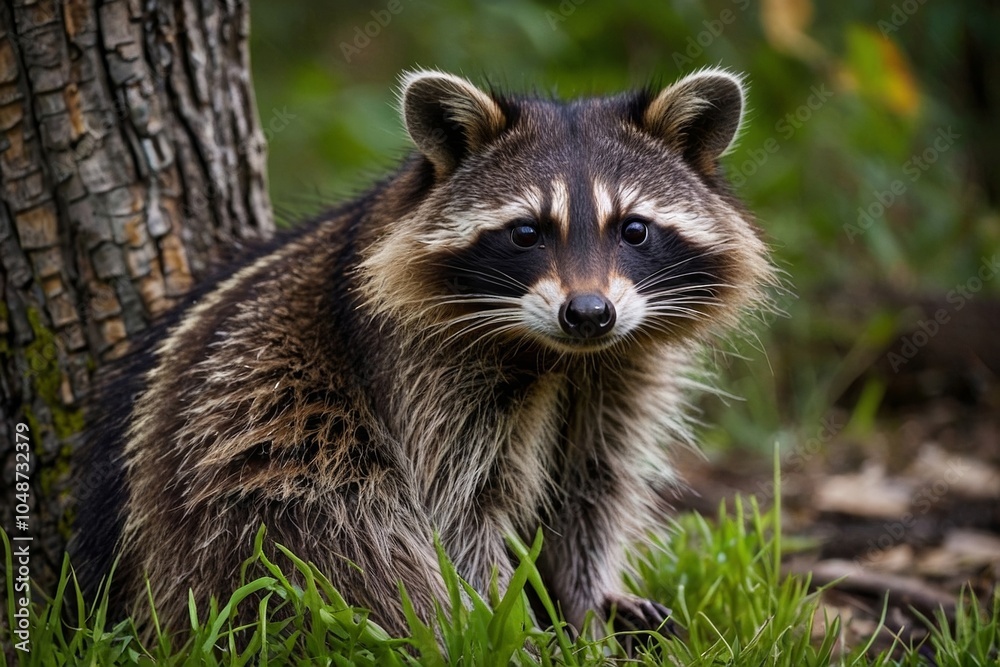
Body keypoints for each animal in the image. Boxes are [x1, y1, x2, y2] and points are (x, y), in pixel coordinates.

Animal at [72, 68, 776, 641]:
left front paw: (587, 601)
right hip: (248, 449)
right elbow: (451, 514)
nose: (587, 312)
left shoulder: (618, 370)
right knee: (334, 511)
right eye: (526, 232)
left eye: (633, 229)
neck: (557, 355)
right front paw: (509, 624)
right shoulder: (418, 368)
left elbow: (590, 489)